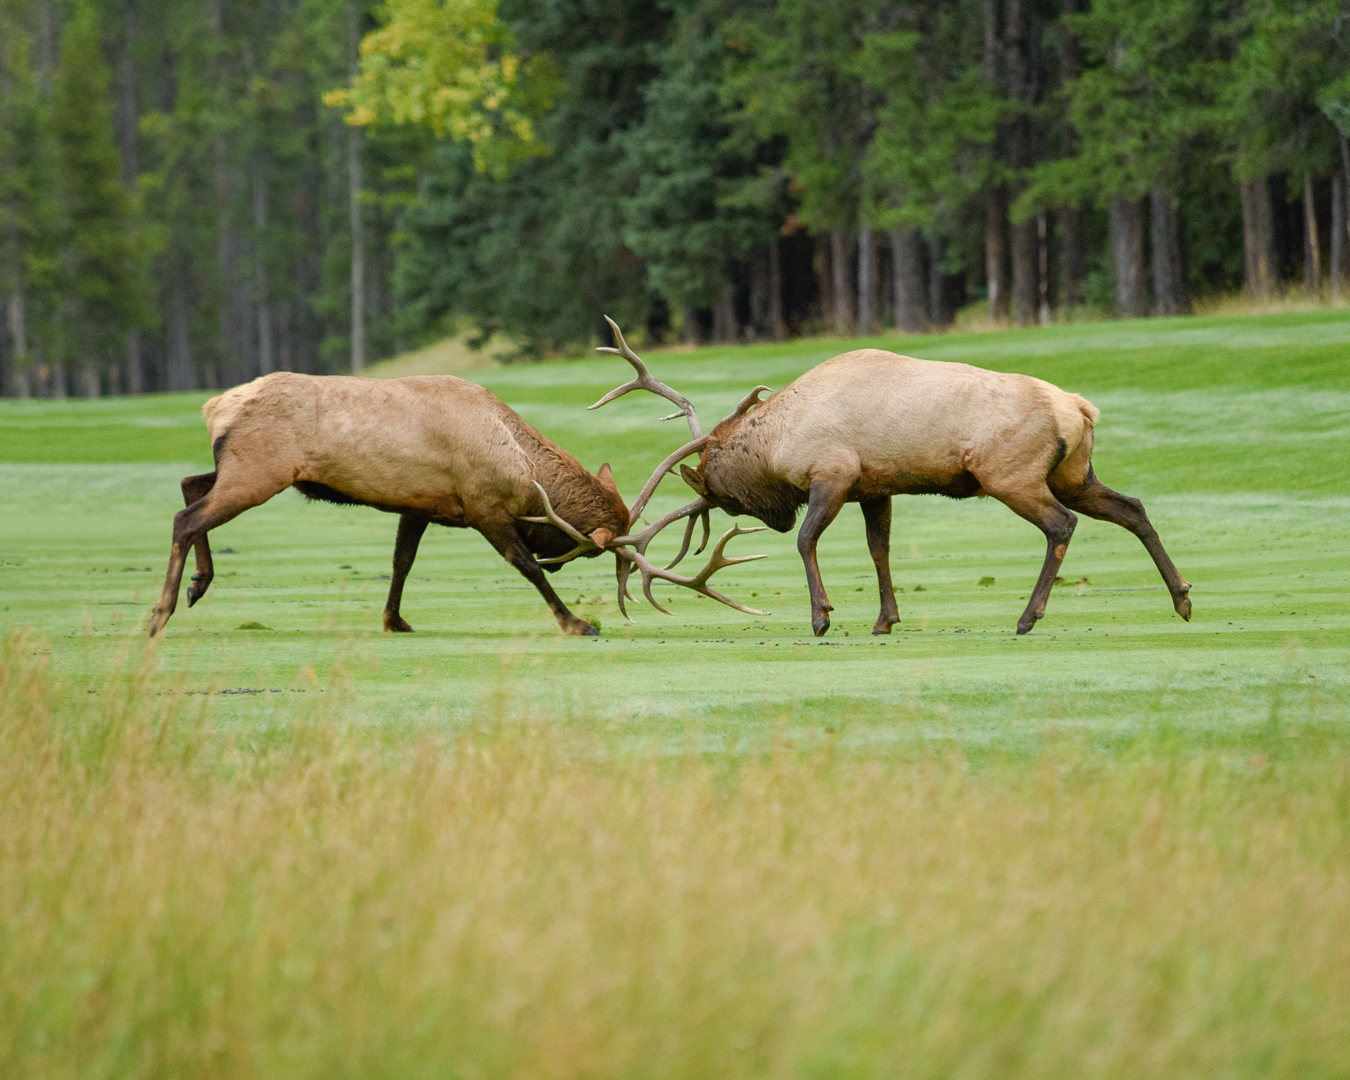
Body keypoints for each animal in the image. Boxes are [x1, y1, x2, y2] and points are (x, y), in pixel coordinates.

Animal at [149, 372, 766, 642]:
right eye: (588, 553)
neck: (517, 462)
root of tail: (215, 405)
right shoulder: (484, 506)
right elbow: (524, 567)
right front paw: (576, 621)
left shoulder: (419, 504)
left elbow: (401, 562)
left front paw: (394, 619)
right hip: (261, 470)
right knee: (186, 516)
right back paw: (163, 611)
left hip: (243, 467)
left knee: (188, 481)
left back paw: (198, 584)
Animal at [594, 315, 1193, 637]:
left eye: (721, 496)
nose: (774, 521)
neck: (778, 445)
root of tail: (1080, 409)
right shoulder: (874, 487)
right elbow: (877, 548)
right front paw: (886, 619)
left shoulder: (834, 472)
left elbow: (809, 540)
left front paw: (821, 615)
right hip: (1073, 473)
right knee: (1132, 507)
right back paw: (1182, 597)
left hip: (1011, 475)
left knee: (1061, 524)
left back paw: (1028, 616)